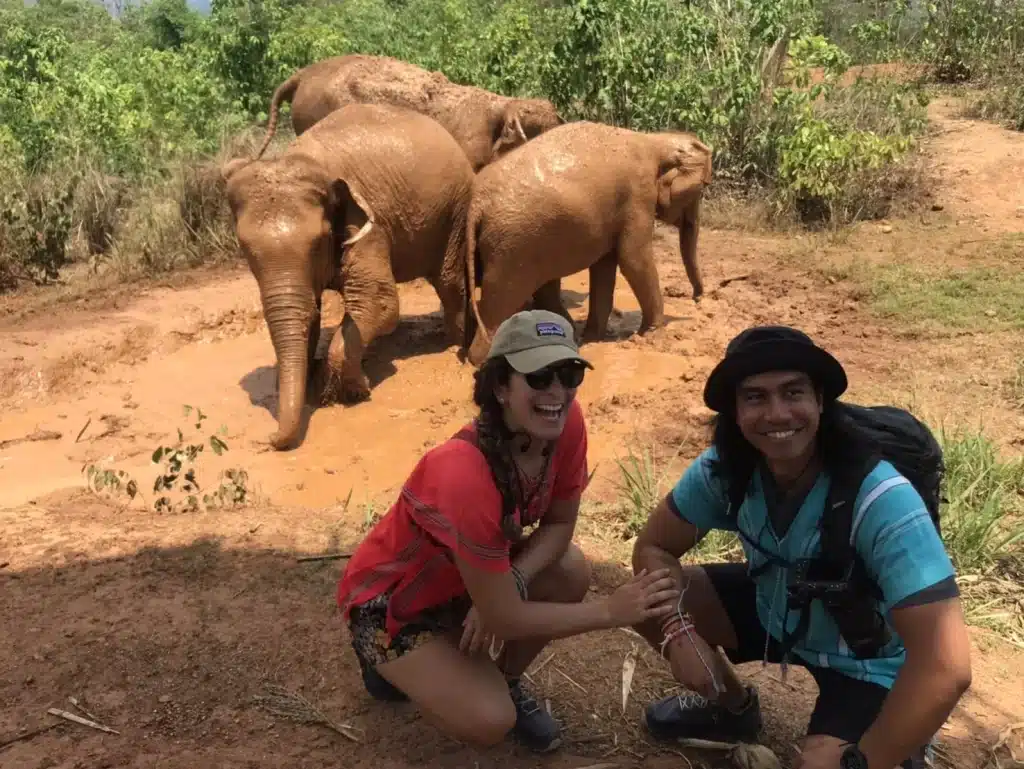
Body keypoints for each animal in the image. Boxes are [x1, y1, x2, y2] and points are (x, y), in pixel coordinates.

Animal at [222, 102, 473, 450]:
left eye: (318, 241)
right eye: (245, 248)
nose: (269, 439)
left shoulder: (369, 223)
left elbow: (380, 303)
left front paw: (351, 391)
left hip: (456, 209)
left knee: (448, 281)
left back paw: (454, 343)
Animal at [462, 121, 712, 368]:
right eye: (702, 188)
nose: (697, 298)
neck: (655, 141)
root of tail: (478, 203)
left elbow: (605, 267)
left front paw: (593, 337)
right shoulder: (639, 196)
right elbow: (633, 260)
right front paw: (652, 334)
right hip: (512, 249)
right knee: (502, 300)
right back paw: (483, 360)